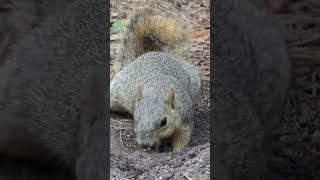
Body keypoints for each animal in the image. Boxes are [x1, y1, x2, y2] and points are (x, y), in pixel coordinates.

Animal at [110, 8, 200, 152]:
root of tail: (142, 56)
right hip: (118, 91)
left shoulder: (185, 117)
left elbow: (183, 136)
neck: (156, 89)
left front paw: (178, 151)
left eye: (164, 122)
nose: (144, 144)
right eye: (135, 118)